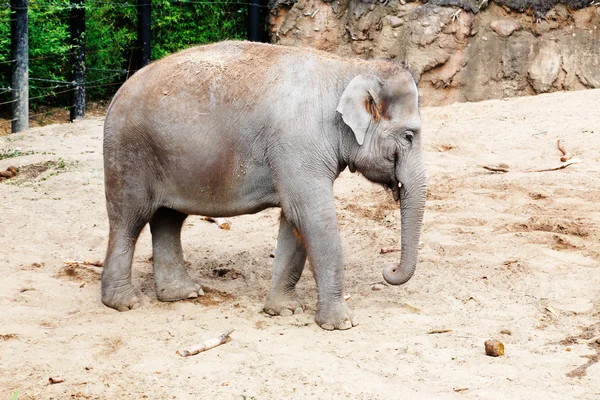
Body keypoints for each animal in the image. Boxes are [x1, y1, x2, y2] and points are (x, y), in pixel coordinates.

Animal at [101, 39, 424, 332]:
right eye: (409, 136)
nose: (389, 269)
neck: (350, 67)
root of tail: (117, 94)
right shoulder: (298, 143)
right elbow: (313, 217)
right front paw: (342, 324)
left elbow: (293, 219)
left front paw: (284, 311)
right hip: (128, 155)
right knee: (129, 220)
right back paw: (125, 303)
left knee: (168, 218)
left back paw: (183, 294)